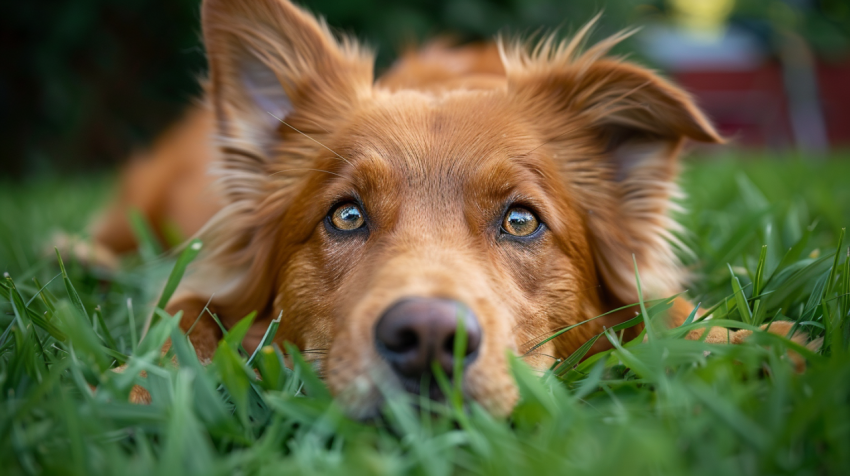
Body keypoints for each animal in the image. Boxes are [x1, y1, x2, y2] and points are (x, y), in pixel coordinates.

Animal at [89, 0, 804, 416]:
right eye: (346, 215)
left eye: (521, 221)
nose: (429, 339)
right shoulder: (204, 279)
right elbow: (180, 316)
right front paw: (138, 390)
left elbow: (672, 312)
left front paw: (757, 346)